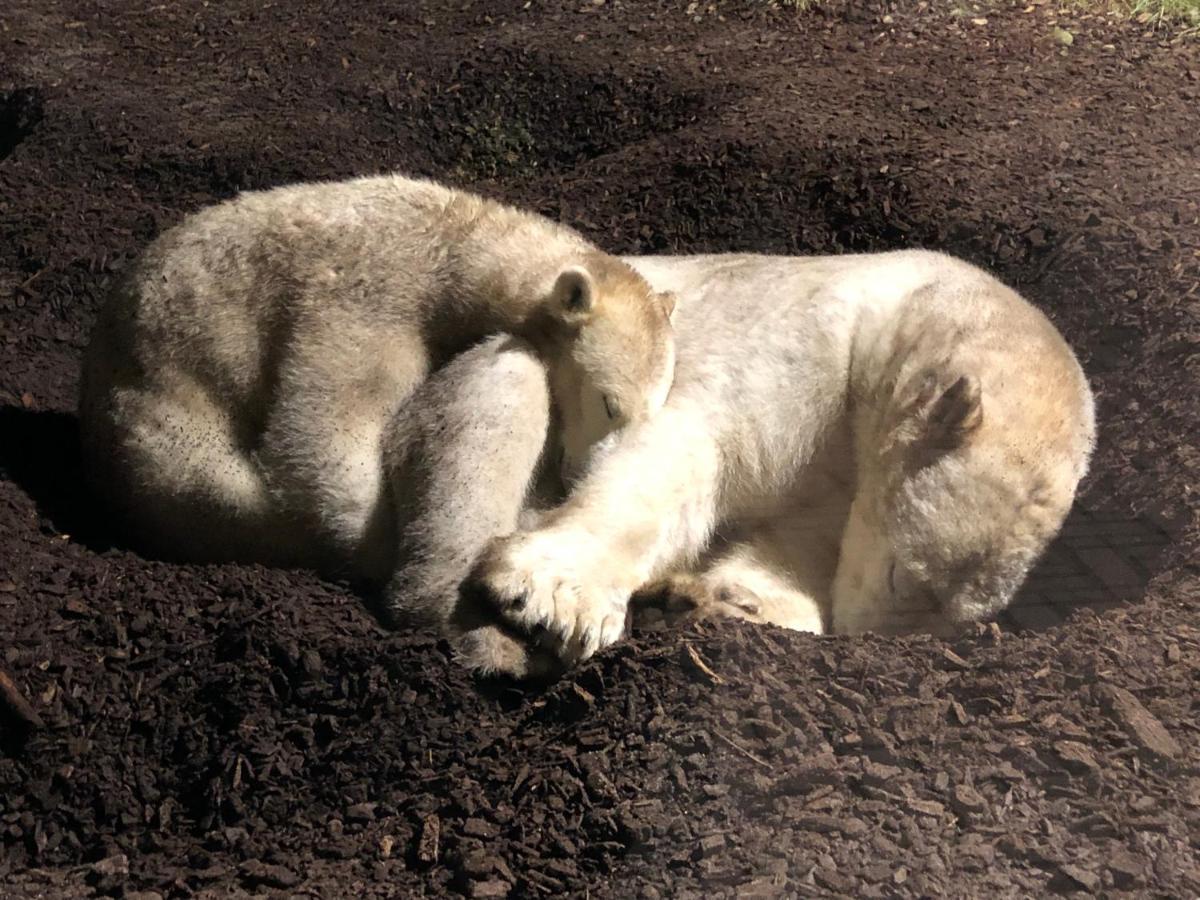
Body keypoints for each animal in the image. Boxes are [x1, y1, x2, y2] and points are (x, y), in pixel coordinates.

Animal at [79, 176, 681, 600]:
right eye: (609, 403)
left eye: (652, 411)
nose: (580, 480)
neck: (452, 245)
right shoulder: (365, 298)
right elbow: (330, 422)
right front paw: (377, 543)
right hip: (164, 413)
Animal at [465, 248, 1099, 672]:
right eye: (901, 572)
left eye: (953, 623)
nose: (860, 639)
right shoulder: (804, 351)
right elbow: (681, 457)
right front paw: (556, 595)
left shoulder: (846, 467)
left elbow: (802, 543)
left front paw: (722, 598)